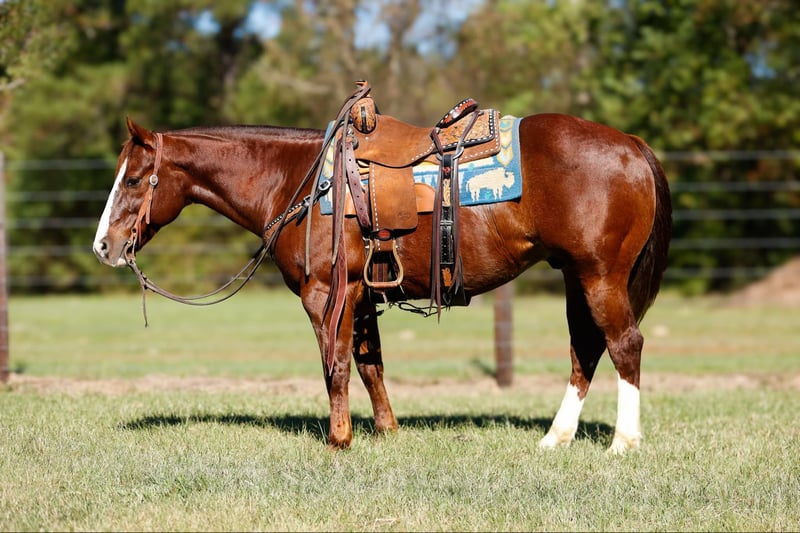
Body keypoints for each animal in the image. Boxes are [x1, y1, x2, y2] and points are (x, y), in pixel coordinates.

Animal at [93, 97, 671, 454]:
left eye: (136, 179)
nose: (104, 246)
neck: (298, 182)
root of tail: (631, 144)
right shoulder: (365, 292)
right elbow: (370, 365)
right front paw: (387, 431)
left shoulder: (327, 293)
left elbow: (335, 365)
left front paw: (339, 439)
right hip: (577, 277)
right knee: (585, 351)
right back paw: (556, 438)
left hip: (600, 277)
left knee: (625, 344)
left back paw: (623, 442)